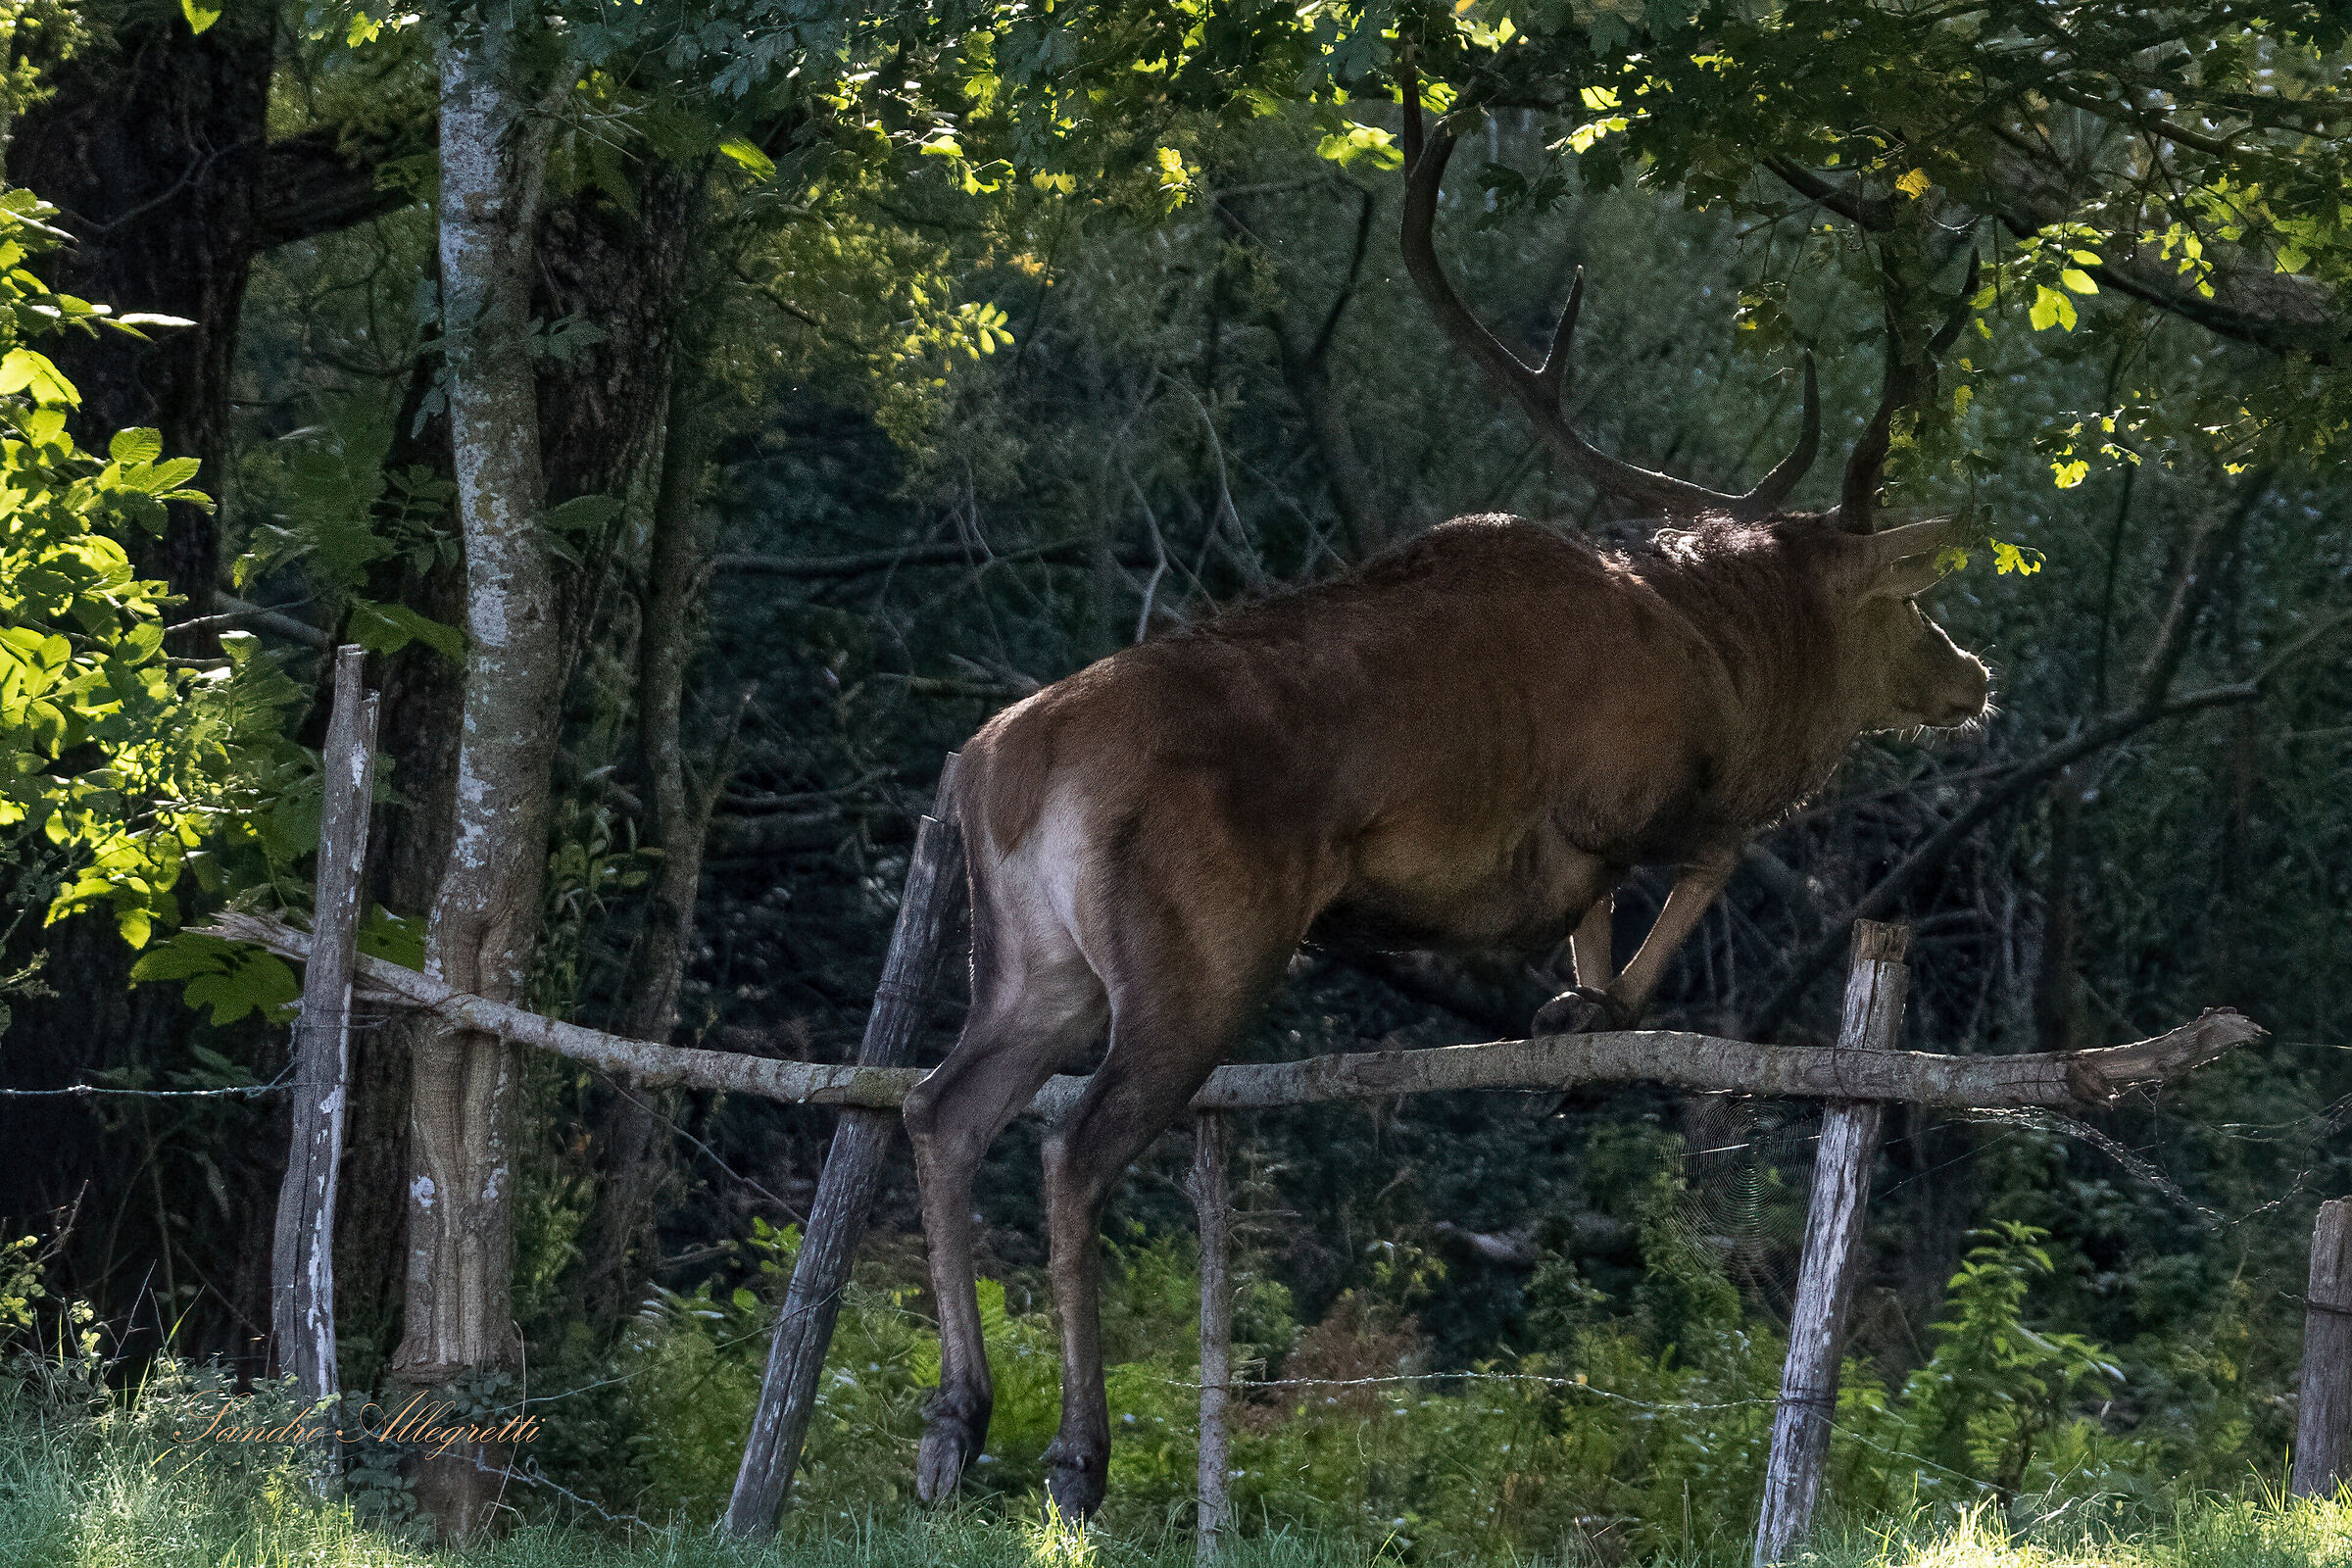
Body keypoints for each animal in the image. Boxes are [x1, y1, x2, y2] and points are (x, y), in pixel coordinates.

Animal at [902, 80, 1992, 1520]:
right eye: (1910, 605)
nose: (1974, 675)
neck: (1724, 673)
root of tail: (994, 768)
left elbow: (1602, 921)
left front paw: (1581, 1023)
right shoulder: (1618, 797)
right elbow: (1691, 863)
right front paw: (1606, 1008)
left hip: (1033, 963)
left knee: (941, 1111)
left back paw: (954, 1424)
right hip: (1195, 955)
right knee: (1069, 1152)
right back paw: (1074, 1455)